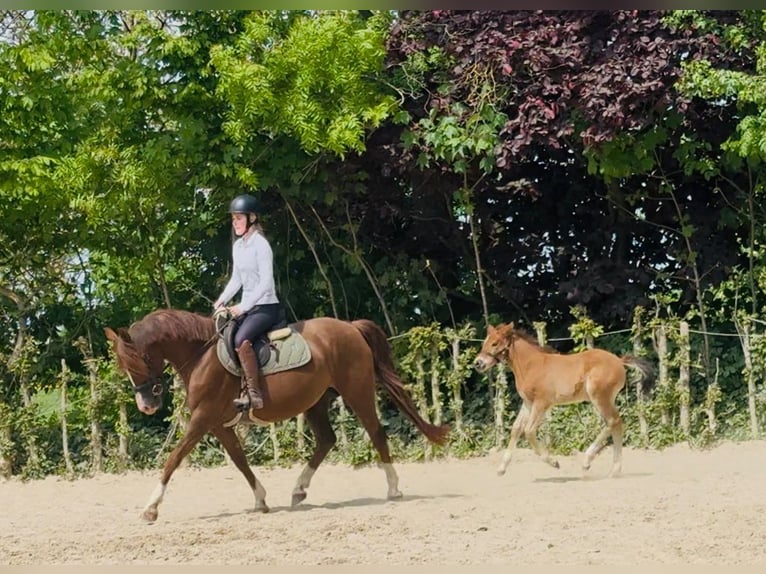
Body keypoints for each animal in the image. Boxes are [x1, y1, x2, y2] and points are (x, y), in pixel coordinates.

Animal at [104, 308, 449, 523]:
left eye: (141, 359)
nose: (146, 405)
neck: (201, 355)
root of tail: (350, 327)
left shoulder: (202, 419)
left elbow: (174, 458)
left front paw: (151, 508)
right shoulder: (218, 424)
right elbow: (239, 460)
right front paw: (260, 500)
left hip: (357, 392)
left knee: (376, 432)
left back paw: (393, 488)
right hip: (316, 401)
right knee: (327, 440)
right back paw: (299, 489)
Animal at [473, 322, 655, 478]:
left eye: (495, 343)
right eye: (485, 342)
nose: (478, 363)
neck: (532, 365)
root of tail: (619, 360)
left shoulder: (541, 403)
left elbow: (529, 431)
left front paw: (553, 462)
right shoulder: (528, 403)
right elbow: (516, 429)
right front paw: (501, 468)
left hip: (599, 396)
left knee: (613, 421)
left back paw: (587, 462)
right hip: (603, 399)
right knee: (615, 424)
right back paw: (614, 471)